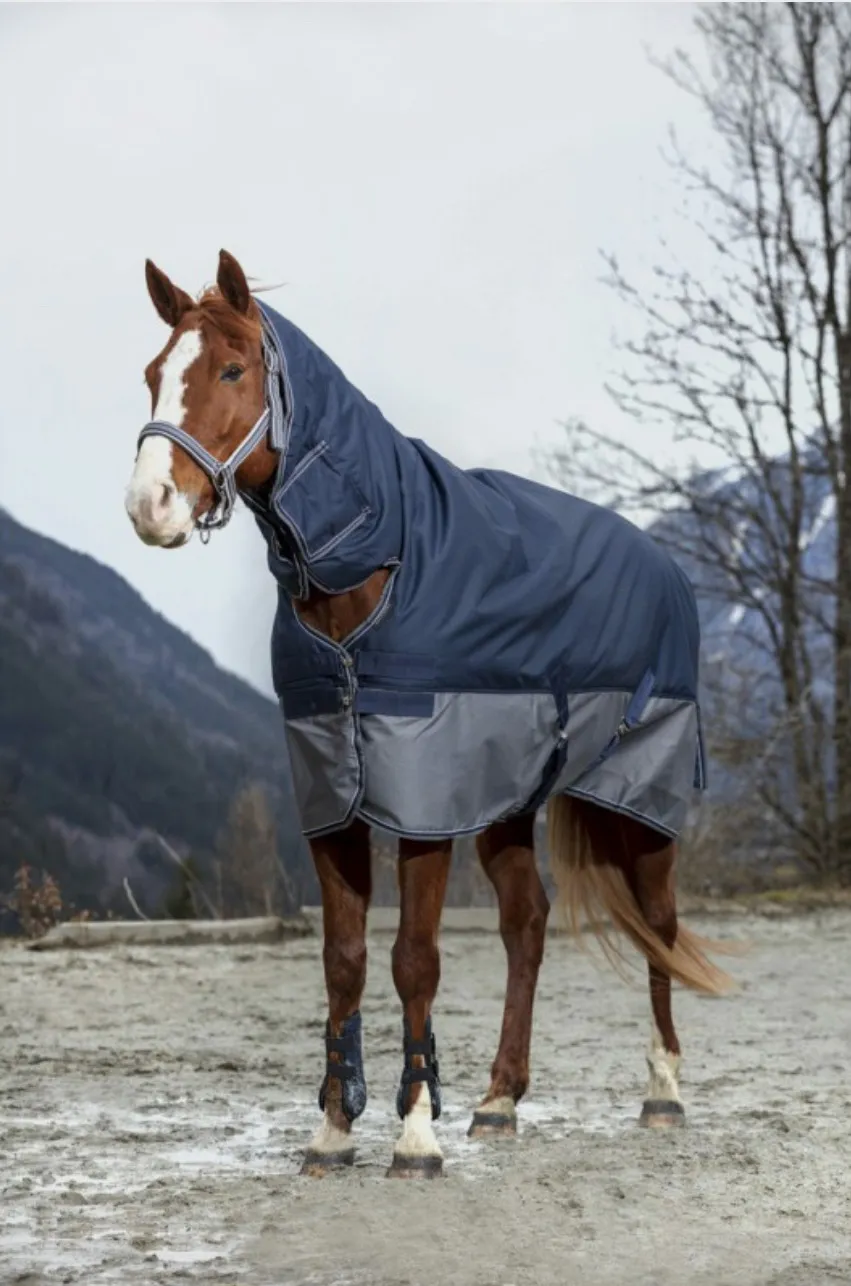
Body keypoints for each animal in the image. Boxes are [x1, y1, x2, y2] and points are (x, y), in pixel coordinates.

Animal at [125, 249, 733, 1179]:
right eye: (154, 374)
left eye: (230, 370)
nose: (148, 504)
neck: (374, 570)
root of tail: (661, 565)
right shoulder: (332, 801)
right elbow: (342, 961)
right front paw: (333, 1130)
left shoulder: (423, 808)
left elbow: (414, 959)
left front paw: (414, 1132)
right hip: (508, 804)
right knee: (526, 925)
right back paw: (498, 1100)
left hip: (639, 802)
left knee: (658, 926)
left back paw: (661, 1091)